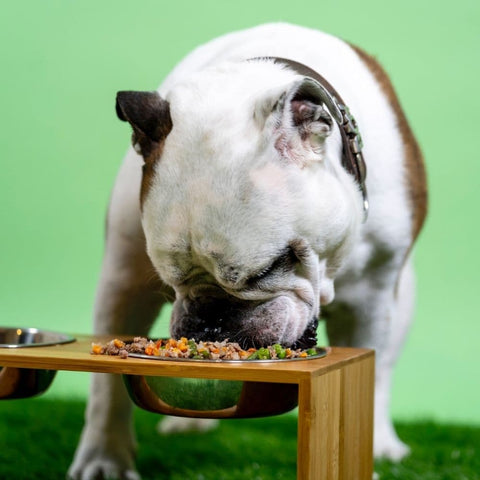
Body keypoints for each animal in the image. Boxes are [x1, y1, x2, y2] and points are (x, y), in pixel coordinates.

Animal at [68, 22, 428, 480]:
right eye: (170, 281)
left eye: (269, 269)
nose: (211, 318)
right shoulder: (124, 279)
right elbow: (105, 386)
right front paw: (104, 458)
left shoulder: (371, 300)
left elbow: (370, 373)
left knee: (383, 373)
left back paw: (384, 443)